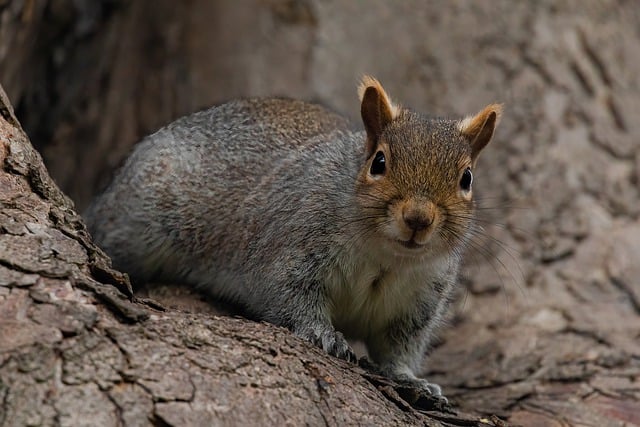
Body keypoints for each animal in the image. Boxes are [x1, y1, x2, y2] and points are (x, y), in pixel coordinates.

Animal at [85, 76, 502, 398]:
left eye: (466, 179)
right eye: (379, 162)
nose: (418, 219)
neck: (386, 258)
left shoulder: (419, 300)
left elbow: (397, 348)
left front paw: (411, 380)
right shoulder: (292, 246)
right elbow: (289, 296)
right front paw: (323, 334)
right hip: (138, 220)